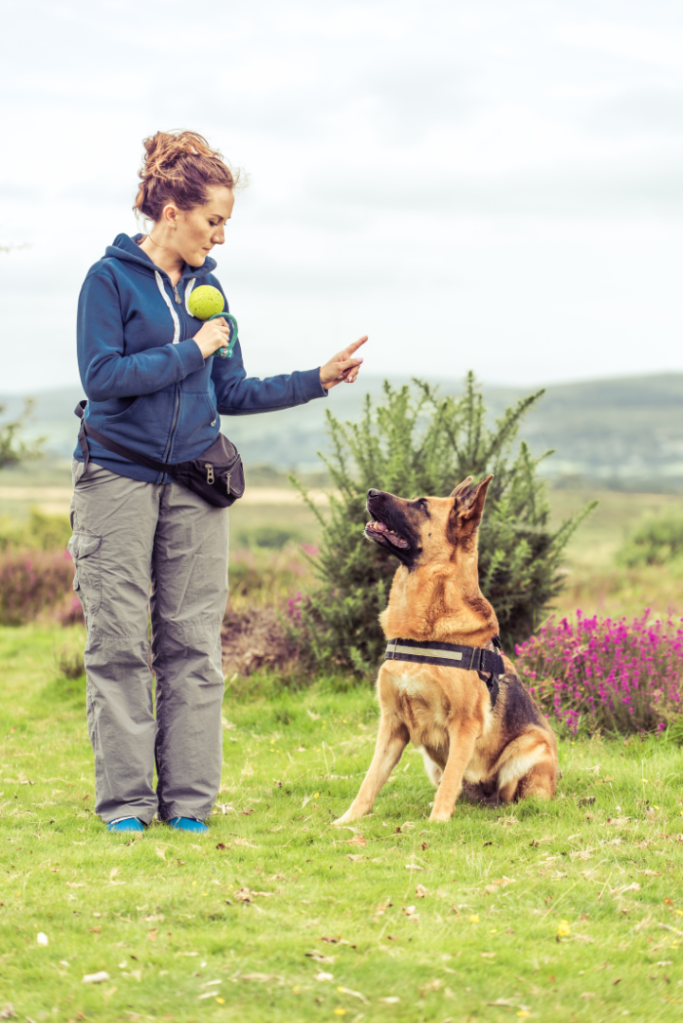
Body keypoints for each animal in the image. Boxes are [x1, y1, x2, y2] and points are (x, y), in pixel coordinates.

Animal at [335, 477, 557, 823]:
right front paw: (348, 820)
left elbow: (453, 776)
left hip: (531, 746)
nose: (370, 492)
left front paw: (437, 823)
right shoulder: (392, 724)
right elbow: (370, 779)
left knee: (510, 794)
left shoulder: (464, 725)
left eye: (422, 505)